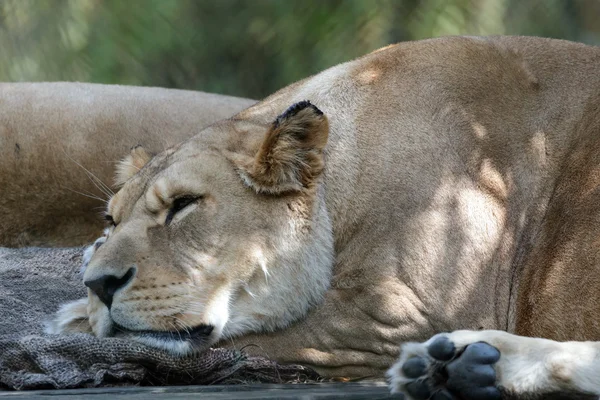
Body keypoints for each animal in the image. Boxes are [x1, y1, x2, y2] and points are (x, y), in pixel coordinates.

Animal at [49, 36, 600, 398]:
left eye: (183, 205)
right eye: (111, 221)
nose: (100, 285)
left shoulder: (397, 314)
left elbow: (254, 337)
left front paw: (72, 321)